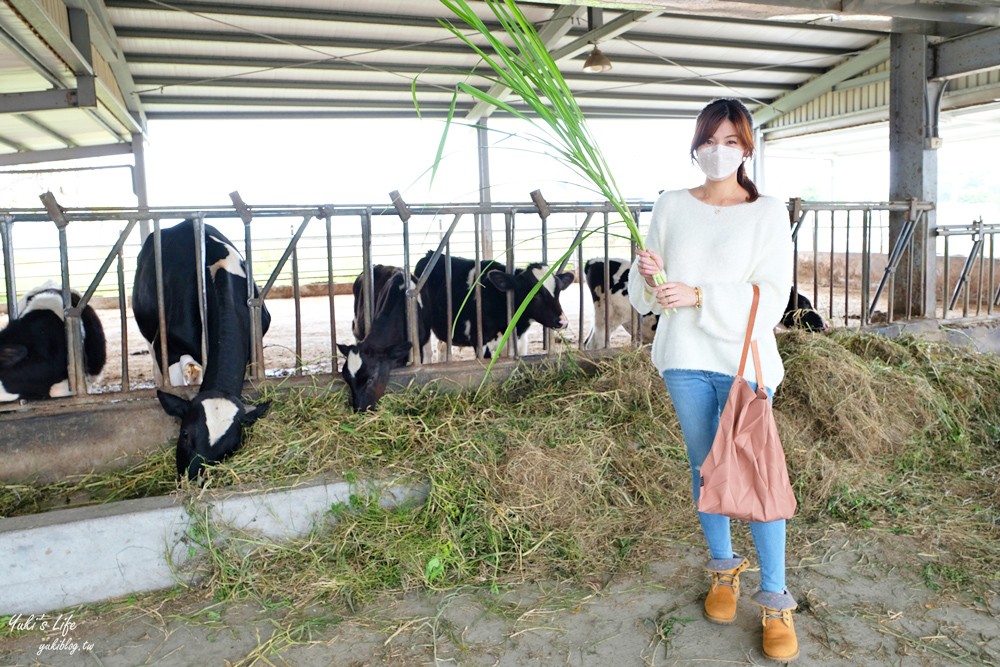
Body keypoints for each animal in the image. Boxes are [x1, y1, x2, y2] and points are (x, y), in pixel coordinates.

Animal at [412, 249, 572, 358]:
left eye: (558, 291)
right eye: (535, 294)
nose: (563, 321)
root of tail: (431, 254)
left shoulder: (519, 344)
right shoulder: (481, 342)